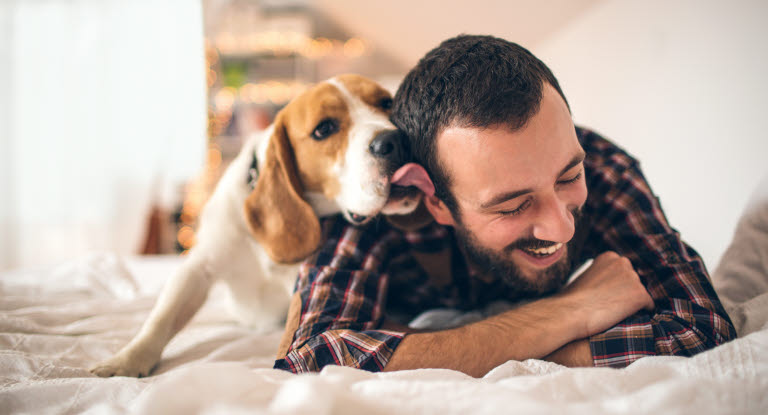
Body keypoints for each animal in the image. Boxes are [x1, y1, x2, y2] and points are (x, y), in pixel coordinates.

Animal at [91, 74, 426, 376]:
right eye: (324, 129)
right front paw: (126, 360)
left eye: (387, 103)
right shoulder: (198, 267)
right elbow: (162, 318)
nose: (396, 140)